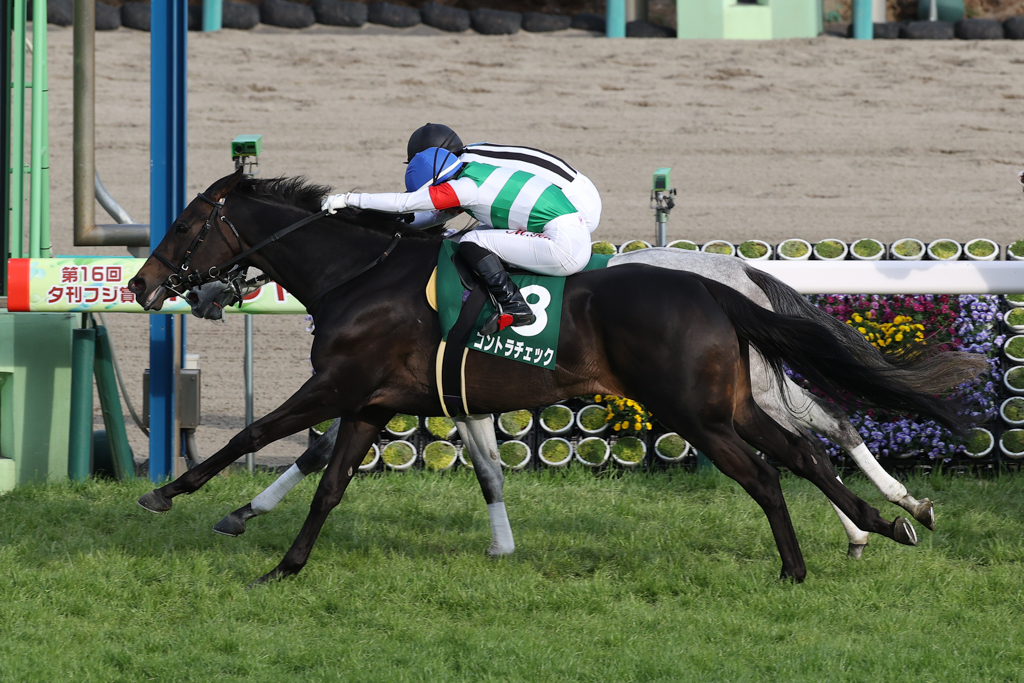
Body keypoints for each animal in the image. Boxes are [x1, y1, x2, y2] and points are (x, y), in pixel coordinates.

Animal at [128, 169, 983, 581]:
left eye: (185, 225)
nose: (141, 285)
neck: (357, 276)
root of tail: (717, 285)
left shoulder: (340, 385)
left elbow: (253, 434)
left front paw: (168, 492)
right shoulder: (373, 400)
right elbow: (329, 481)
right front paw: (285, 565)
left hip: (693, 412)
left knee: (775, 469)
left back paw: (803, 563)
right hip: (729, 401)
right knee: (805, 451)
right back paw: (884, 523)